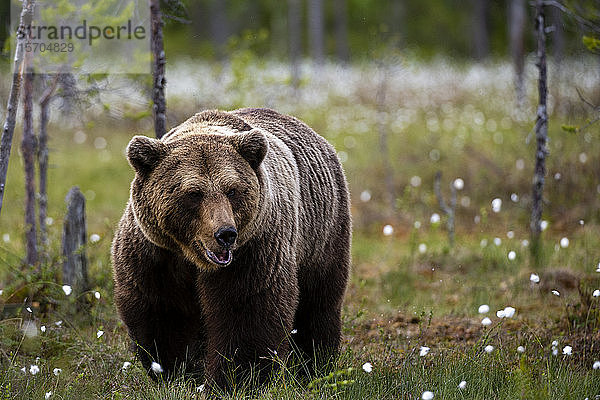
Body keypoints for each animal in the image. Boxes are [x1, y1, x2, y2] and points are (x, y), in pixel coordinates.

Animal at [111, 108, 352, 390]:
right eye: (194, 193)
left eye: (233, 190)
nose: (225, 234)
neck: (192, 257)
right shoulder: (155, 253)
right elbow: (163, 310)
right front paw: (178, 371)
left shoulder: (254, 248)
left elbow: (245, 310)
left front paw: (237, 378)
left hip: (321, 232)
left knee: (319, 301)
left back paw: (314, 365)